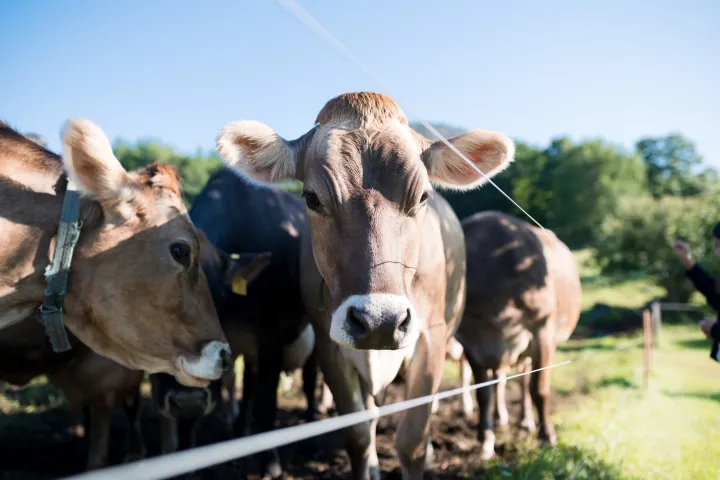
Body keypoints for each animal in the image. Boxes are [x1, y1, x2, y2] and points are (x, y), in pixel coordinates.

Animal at [147, 169, 316, 478]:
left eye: (220, 299)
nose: (187, 398)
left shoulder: (271, 336)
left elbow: (266, 403)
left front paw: (270, 462)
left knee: (310, 382)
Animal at [216, 91, 515, 479]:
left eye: (423, 197)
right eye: (311, 198)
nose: (380, 320)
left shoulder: (431, 338)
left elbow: (411, 442)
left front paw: (421, 454)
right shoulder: (329, 345)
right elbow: (358, 435)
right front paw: (368, 462)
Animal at [456, 211, 581, 460]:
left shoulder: (541, 329)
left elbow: (539, 389)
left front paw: (547, 437)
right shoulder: (471, 343)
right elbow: (483, 393)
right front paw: (486, 440)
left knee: (524, 381)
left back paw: (525, 420)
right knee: (504, 379)